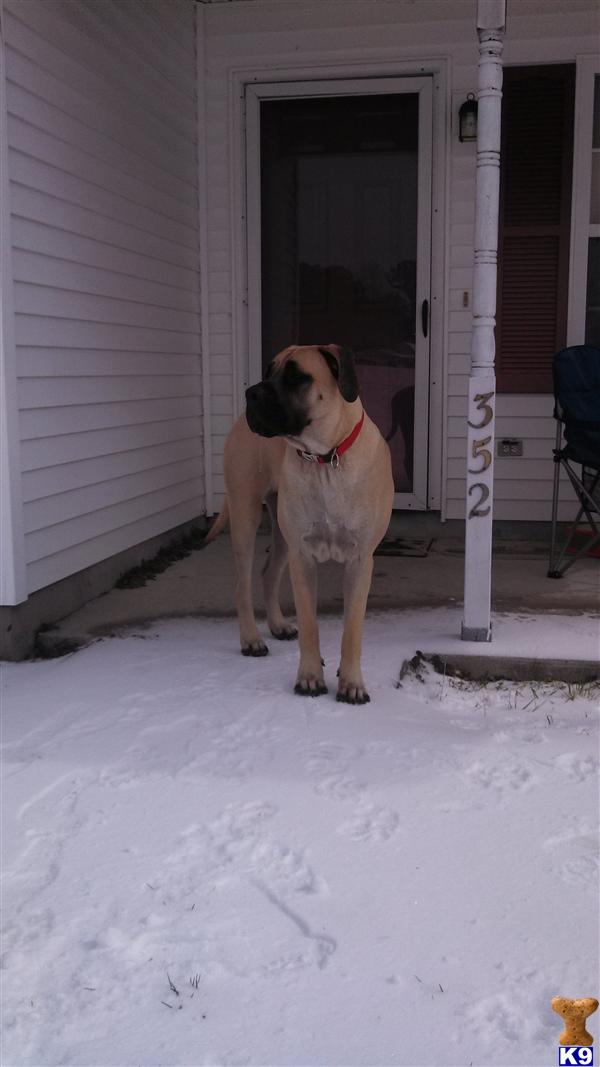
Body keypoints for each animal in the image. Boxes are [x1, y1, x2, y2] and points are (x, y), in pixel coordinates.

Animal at [204, 345, 392, 704]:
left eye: (295, 376)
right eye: (268, 370)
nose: (251, 393)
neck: (326, 458)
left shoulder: (360, 560)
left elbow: (352, 629)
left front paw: (351, 683)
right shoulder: (303, 556)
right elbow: (310, 624)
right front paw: (309, 677)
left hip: (281, 534)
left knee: (267, 572)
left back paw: (278, 625)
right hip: (246, 512)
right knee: (242, 583)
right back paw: (251, 638)